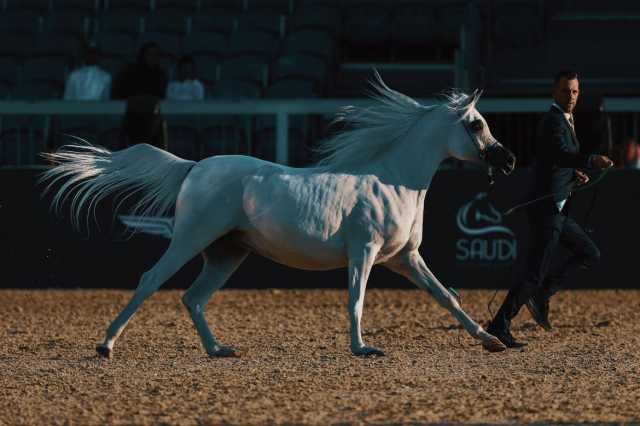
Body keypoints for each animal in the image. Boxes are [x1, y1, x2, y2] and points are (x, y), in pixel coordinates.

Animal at [41, 75, 516, 358]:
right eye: (476, 124)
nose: (508, 161)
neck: (393, 180)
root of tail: (194, 167)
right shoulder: (364, 252)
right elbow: (356, 299)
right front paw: (362, 349)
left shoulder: (405, 258)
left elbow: (447, 297)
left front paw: (491, 340)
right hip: (191, 239)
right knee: (151, 281)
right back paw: (106, 345)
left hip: (227, 254)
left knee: (193, 297)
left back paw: (218, 350)